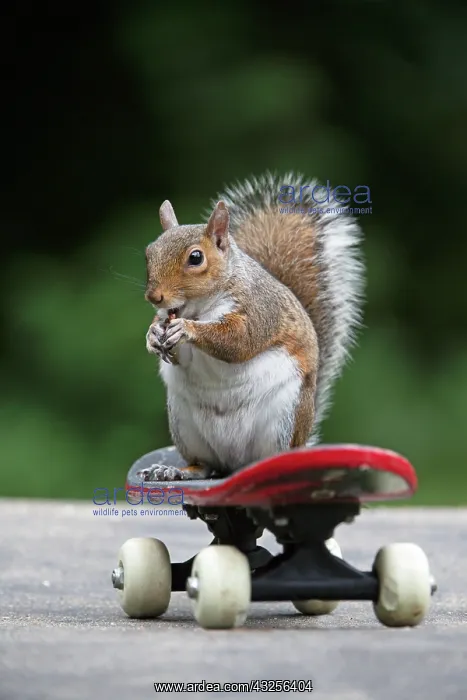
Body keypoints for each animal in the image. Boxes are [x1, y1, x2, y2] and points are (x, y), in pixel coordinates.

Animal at [144, 172, 364, 481]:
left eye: (196, 257)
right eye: (149, 252)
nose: (154, 297)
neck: (199, 307)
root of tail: (234, 463)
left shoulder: (260, 310)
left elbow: (240, 342)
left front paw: (187, 329)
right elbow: (178, 355)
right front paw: (153, 335)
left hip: (283, 418)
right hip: (184, 423)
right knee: (205, 464)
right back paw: (176, 471)